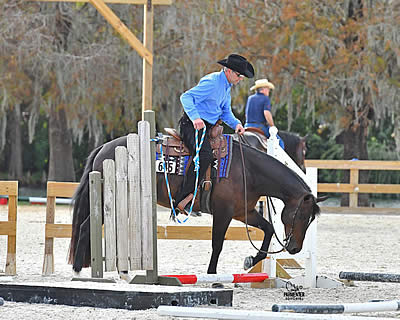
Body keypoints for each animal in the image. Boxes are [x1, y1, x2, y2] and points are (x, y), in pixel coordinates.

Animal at [69, 135, 324, 276]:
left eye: (311, 220)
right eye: (302, 216)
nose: (295, 249)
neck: (248, 171)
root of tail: (103, 148)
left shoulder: (244, 212)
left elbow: (268, 229)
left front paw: (250, 260)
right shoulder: (223, 213)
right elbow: (217, 244)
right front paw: (212, 275)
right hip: (106, 200)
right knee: (85, 226)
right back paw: (79, 269)